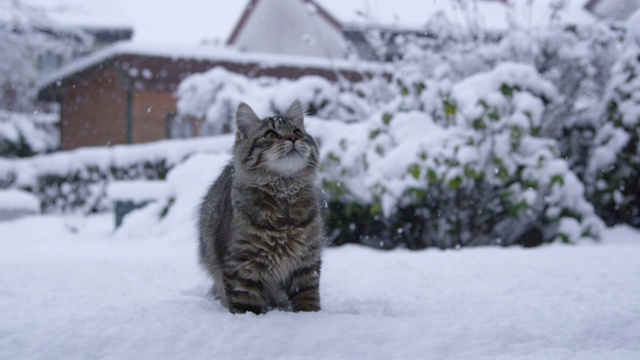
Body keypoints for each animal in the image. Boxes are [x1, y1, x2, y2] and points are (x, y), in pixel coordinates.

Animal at [196, 100, 324, 314]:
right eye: (271, 135)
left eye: (297, 132)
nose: (292, 139)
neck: (284, 192)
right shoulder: (242, 264)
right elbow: (246, 304)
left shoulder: (307, 261)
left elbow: (307, 298)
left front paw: (310, 315)